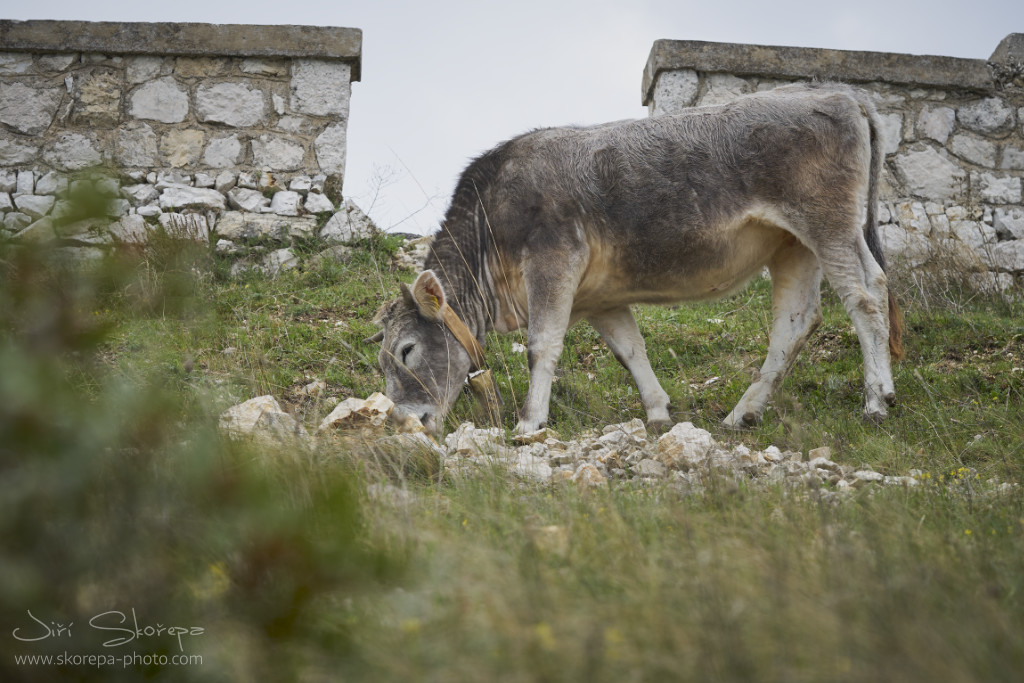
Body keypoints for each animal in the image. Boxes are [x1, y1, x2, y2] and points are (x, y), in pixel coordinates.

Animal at [370, 82, 905, 436]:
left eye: (407, 351)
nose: (404, 421)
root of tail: (843, 96)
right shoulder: (598, 297)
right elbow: (630, 351)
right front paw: (658, 412)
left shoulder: (552, 260)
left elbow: (542, 346)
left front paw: (529, 424)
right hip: (793, 245)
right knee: (795, 322)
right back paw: (742, 413)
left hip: (828, 223)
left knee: (867, 295)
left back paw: (877, 400)